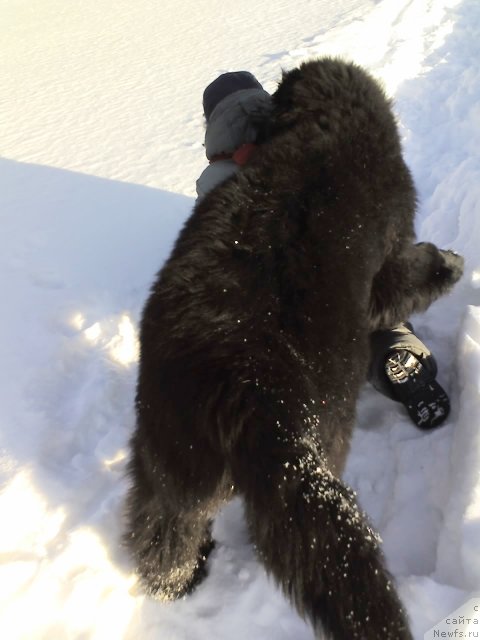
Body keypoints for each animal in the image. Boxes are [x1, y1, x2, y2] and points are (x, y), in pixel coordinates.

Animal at [125, 57, 464, 636]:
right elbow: (408, 277)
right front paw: (449, 264)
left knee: (164, 530)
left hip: (170, 455)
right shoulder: (387, 263)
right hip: (321, 432)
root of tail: (239, 384)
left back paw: (179, 581)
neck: (326, 126)